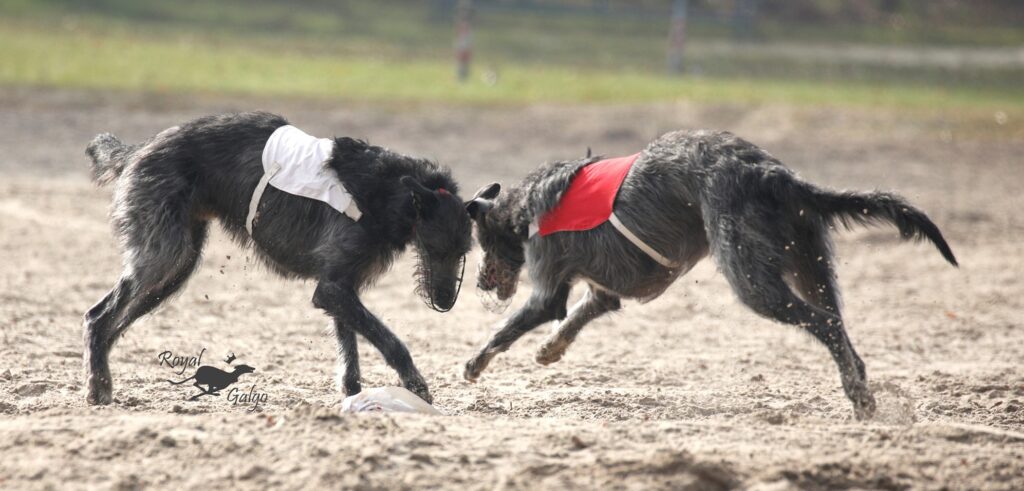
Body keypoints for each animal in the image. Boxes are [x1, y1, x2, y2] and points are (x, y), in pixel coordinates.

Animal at [84, 112, 471, 407]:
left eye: (463, 252)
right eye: (436, 249)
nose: (445, 303)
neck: (391, 191)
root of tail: (138, 149)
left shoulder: (340, 285)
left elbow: (349, 345)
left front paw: (353, 394)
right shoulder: (333, 288)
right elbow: (389, 340)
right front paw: (416, 385)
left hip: (176, 268)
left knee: (115, 323)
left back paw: (100, 378)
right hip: (163, 255)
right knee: (98, 317)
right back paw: (98, 387)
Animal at [464, 129, 958, 418]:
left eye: (482, 243)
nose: (482, 284)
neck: (525, 207)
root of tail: (777, 176)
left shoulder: (547, 281)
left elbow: (515, 325)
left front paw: (474, 363)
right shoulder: (605, 289)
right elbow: (582, 313)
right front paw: (551, 348)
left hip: (752, 278)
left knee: (825, 323)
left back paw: (859, 396)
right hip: (811, 264)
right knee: (837, 323)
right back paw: (859, 388)